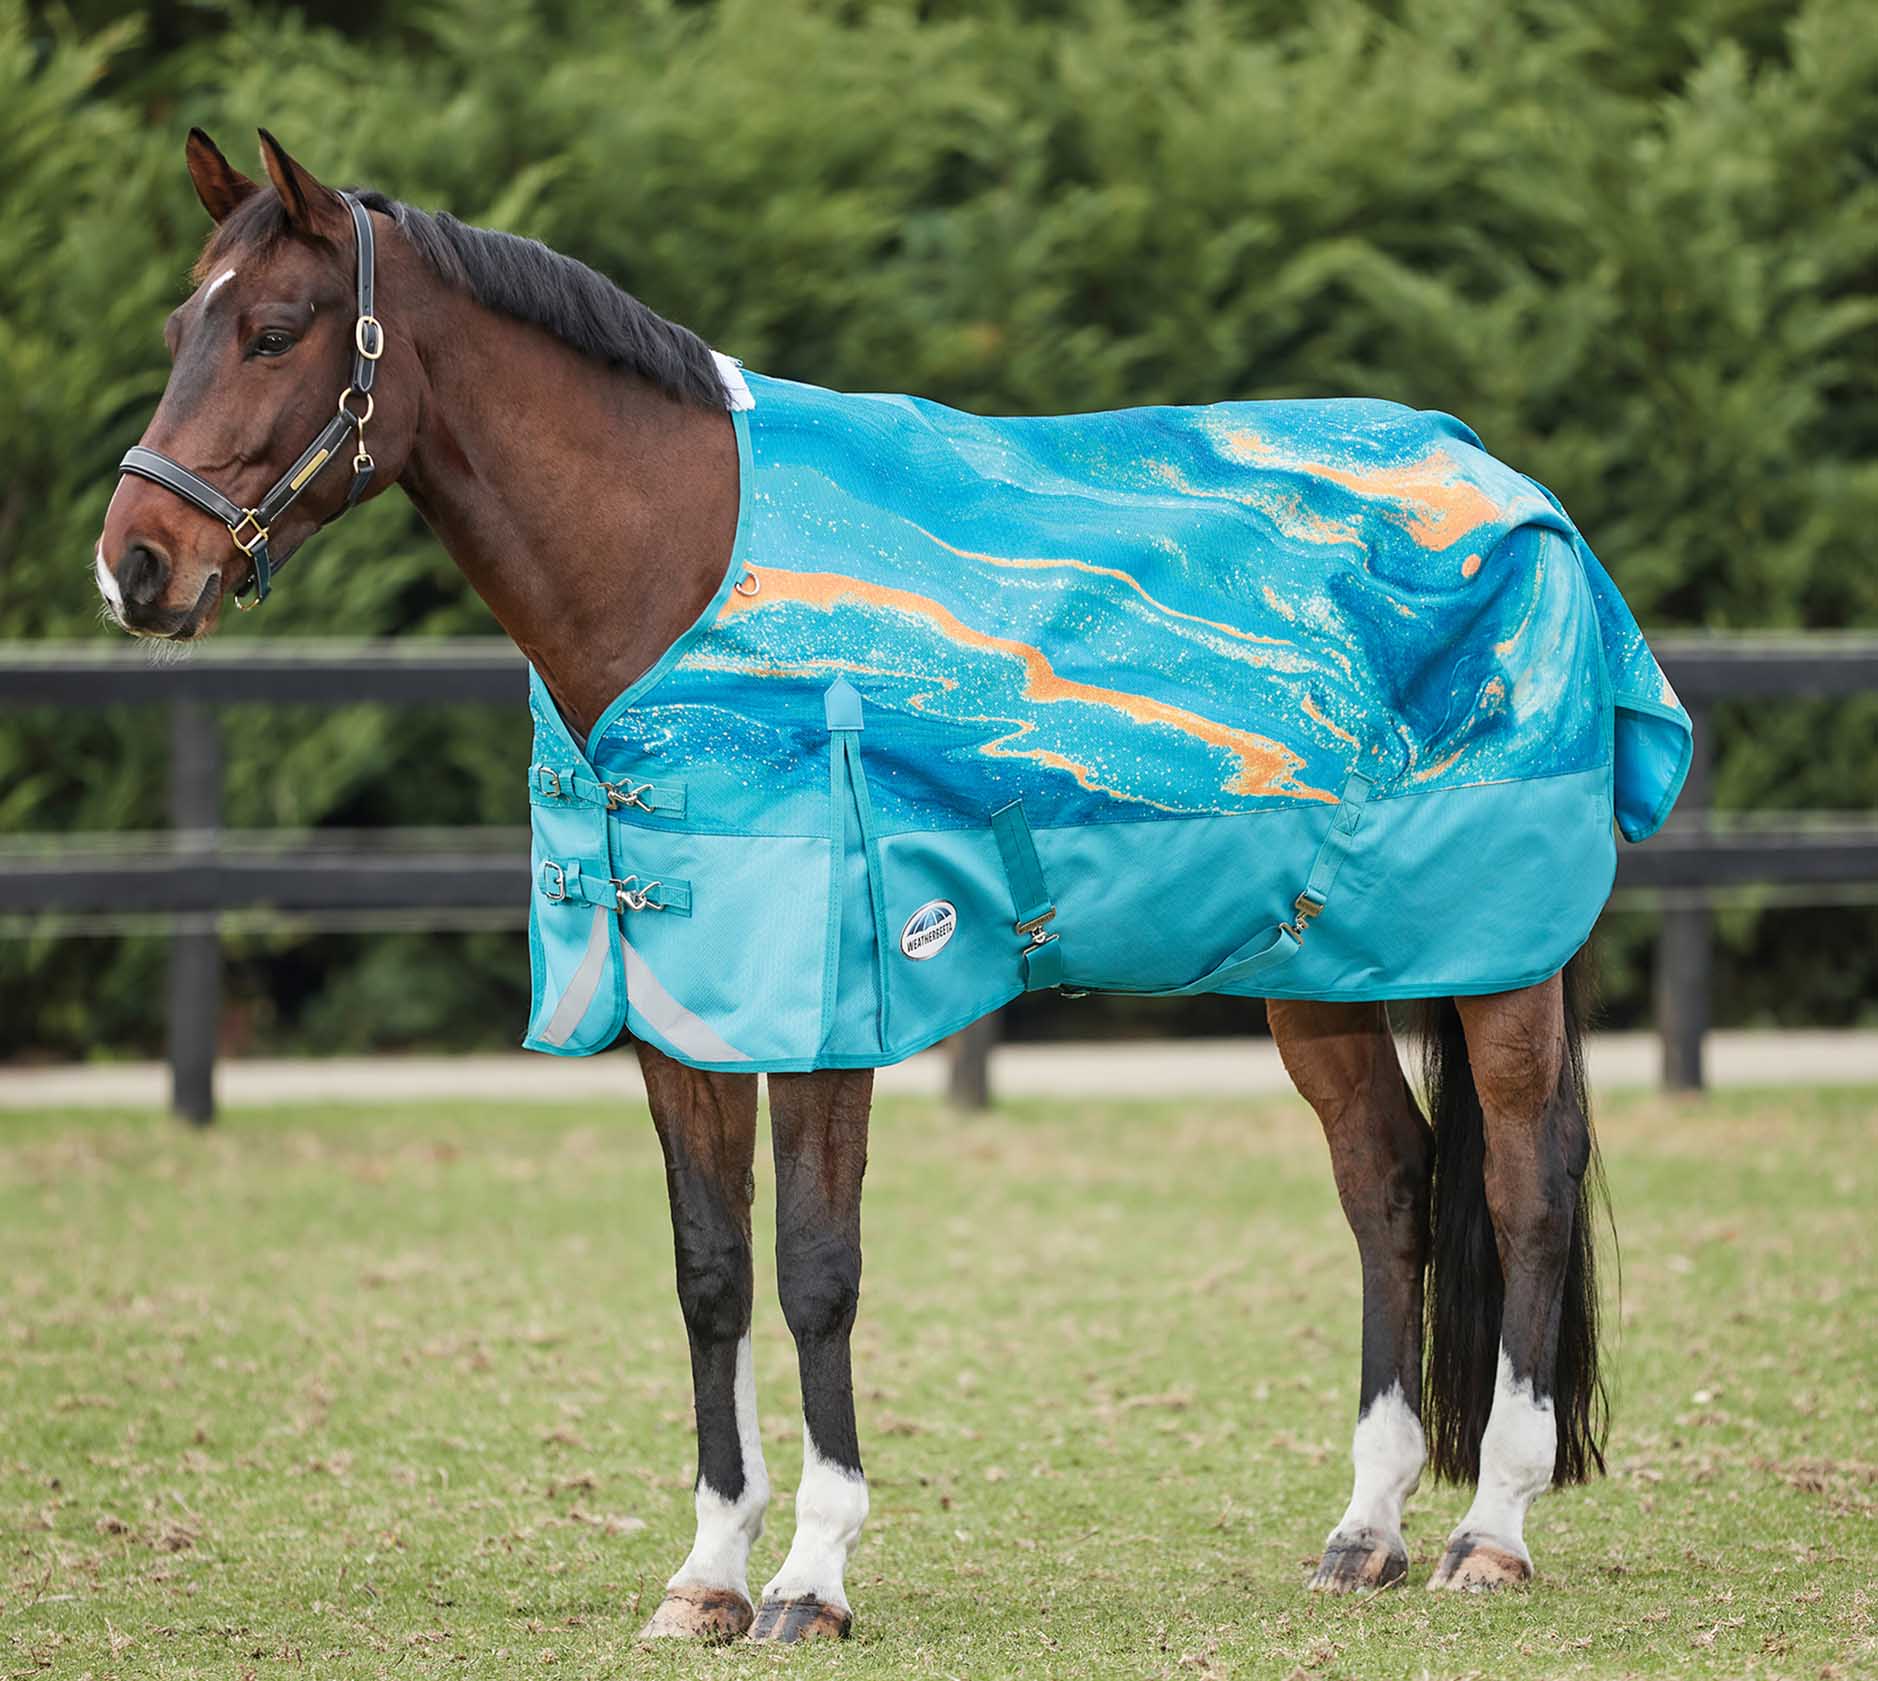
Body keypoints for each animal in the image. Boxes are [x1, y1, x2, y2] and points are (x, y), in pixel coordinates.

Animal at [97, 129, 1632, 1642]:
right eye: (178, 326)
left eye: (275, 330)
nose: (135, 567)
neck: (686, 581)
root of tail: (1505, 487)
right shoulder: (683, 1010)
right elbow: (711, 1273)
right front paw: (708, 1572)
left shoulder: (831, 1008)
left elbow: (815, 1273)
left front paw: (810, 1576)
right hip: (1315, 968)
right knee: (1386, 1180)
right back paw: (1366, 1528)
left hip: (1498, 956)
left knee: (1523, 1179)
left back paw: (1490, 1530)